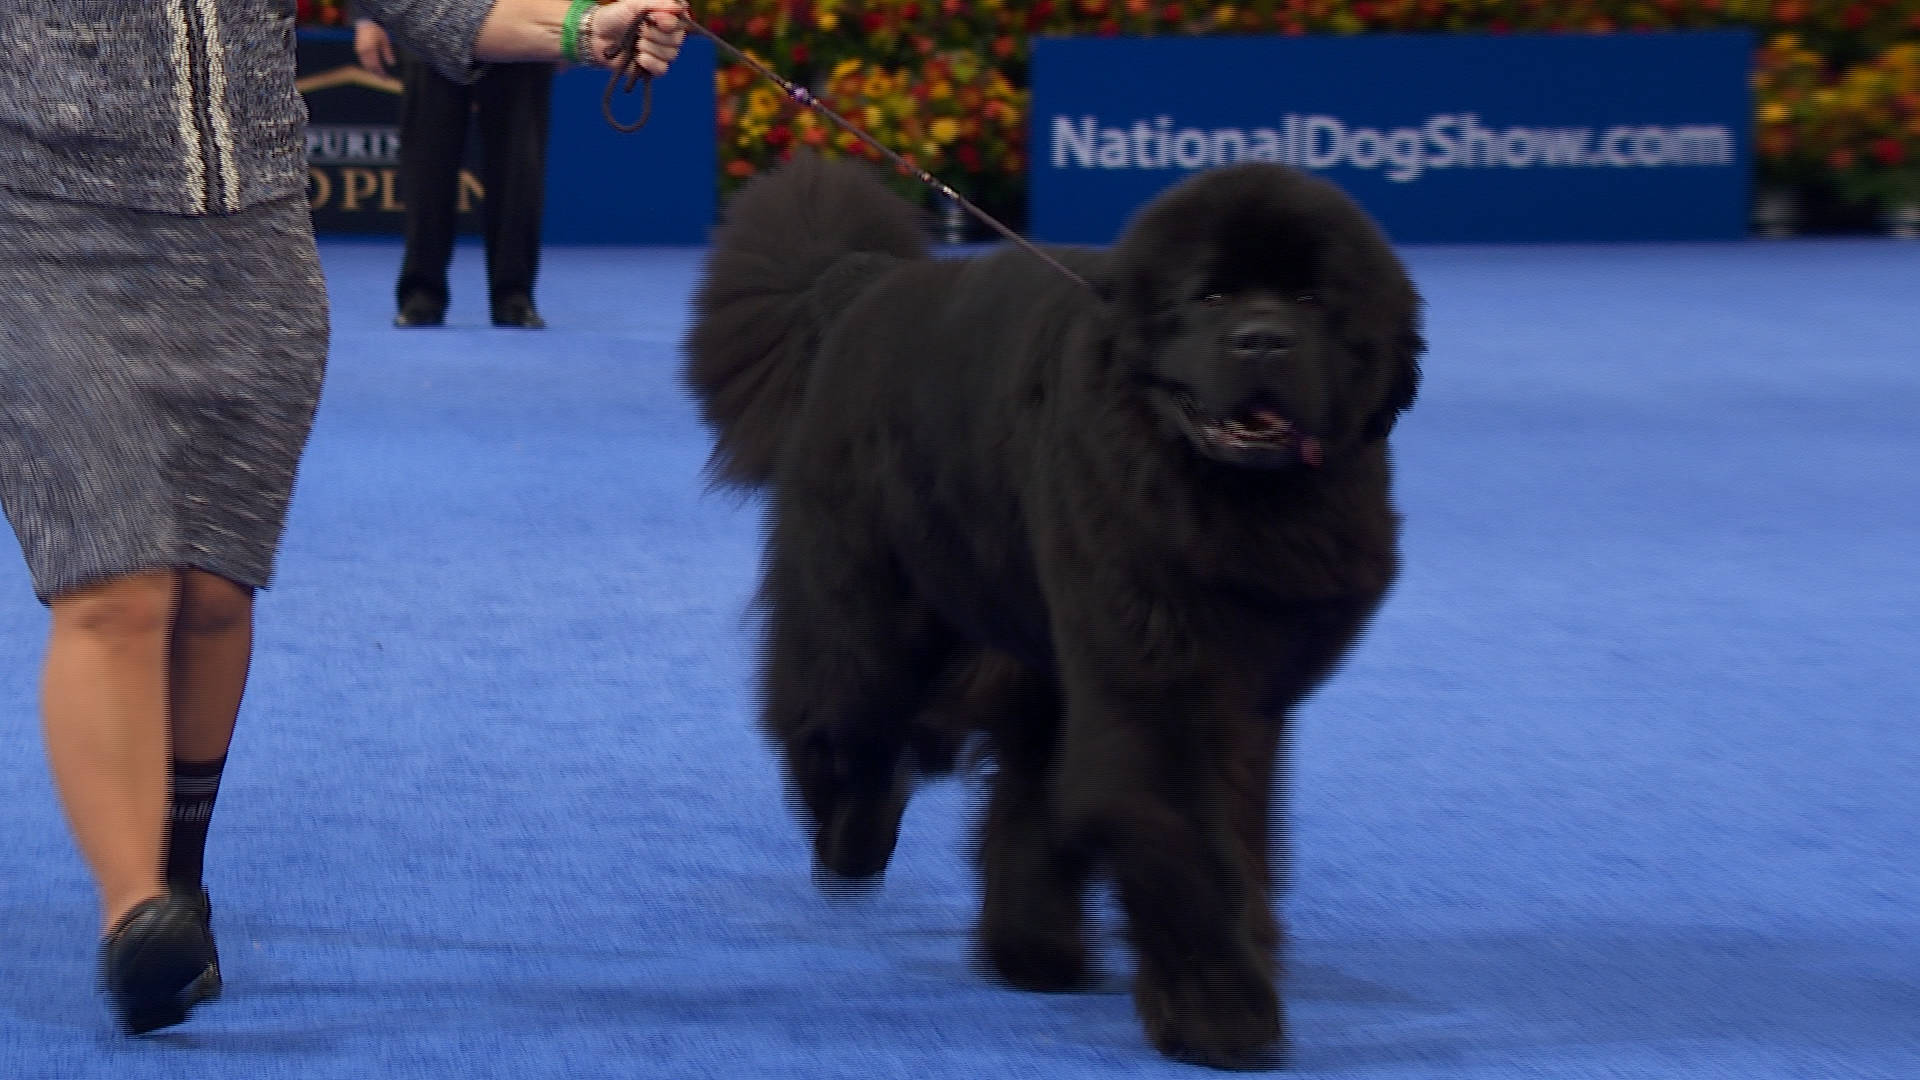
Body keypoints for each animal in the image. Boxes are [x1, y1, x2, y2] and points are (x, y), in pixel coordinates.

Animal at [683, 153, 1420, 1068]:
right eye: (1211, 297)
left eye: (1314, 301)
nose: (1263, 339)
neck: (1227, 499)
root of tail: (866, 284)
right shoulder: (1154, 685)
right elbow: (1188, 839)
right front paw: (1224, 1013)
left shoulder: (1246, 693)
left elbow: (1231, 833)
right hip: (874, 608)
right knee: (832, 716)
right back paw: (854, 839)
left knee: (1019, 784)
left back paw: (1031, 945)